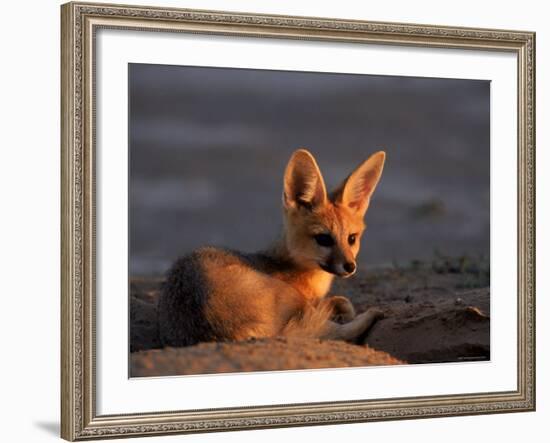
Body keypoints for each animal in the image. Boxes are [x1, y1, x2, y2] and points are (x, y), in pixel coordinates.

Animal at [157, 148, 386, 346]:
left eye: (352, 238)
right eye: (323, 239)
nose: (350, 266)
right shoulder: (305, 305)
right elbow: (335, 308)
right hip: (290, 299)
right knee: (334, 332)